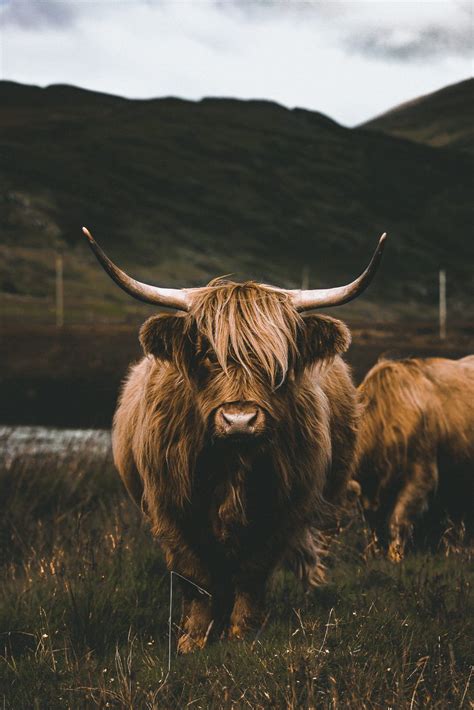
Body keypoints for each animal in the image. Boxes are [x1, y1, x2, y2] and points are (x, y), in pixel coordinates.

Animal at [82, 225, 386, 652]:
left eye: (278, 362)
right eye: (208, 354)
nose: (239, 420)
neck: (232, 464)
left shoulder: (282, 509)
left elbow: (252, 572)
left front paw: (242, 634)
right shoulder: (171, 506)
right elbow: (196, 575)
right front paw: (194, 639)